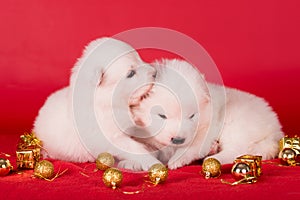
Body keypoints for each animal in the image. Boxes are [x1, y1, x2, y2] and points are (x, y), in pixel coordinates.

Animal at [33, 38, 162, 170]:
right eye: (131, 73)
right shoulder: (112, 138)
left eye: (139, 58)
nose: (155, 72)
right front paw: (152, 162)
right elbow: (135, 148)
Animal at [132, 59, 284, 169]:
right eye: (162, 116)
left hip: (236, 124)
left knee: (237, 150)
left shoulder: (208, 129)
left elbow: (192, 146)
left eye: (192, 116)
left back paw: (214, 158)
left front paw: (177, 160)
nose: (178, 140)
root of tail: (275, 131)